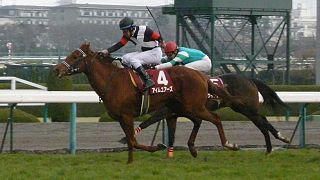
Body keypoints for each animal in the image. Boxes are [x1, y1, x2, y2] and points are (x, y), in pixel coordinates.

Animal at [53, 42, 238, 163]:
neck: (112, 80)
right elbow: (131, 141)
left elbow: (132, 140)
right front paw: (133, 160)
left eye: (75, 55)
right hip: (184, 108)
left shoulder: (127, 115)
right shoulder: (121, 118)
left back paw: (229, 144)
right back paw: (192, 149)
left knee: (216, 119)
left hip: (193, 106)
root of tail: (201, 76)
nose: (56, 69)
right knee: (198, 121)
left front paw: (154, 149)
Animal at [130, 73, 290, 156]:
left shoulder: (167, 111)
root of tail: (249, 79)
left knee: (262, 121)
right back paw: (271, 147)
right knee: (262, 121)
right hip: (242, 108)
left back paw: (277, 141)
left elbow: (147, 122)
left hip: (246, 108)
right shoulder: (173, 114)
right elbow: (170, 132)